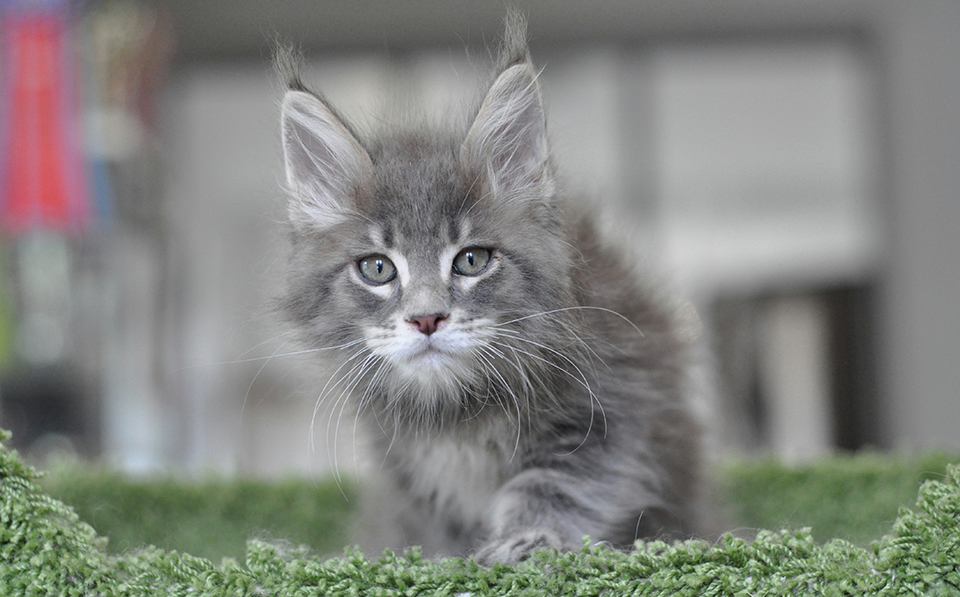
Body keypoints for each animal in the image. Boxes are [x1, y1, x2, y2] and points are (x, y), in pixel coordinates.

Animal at [274, 12, 700, 564]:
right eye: (378, 269)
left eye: (471, 260)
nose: (426, 318)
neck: (459, 411)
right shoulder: (411, 476)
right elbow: (440, 529)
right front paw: (446, 561)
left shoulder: (616, 401)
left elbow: (555, 484)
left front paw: (526, 539)